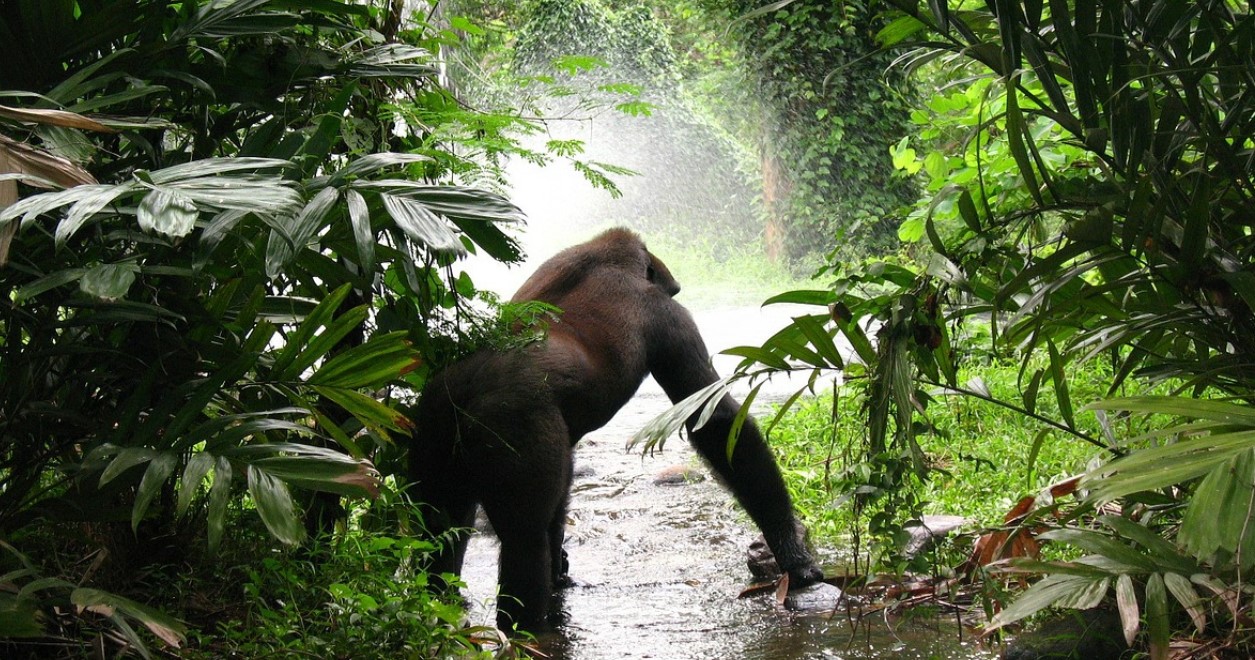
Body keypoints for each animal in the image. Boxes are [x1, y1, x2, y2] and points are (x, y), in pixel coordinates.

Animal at [409, 228, 823, 632]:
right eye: (672, 291)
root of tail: (465, 390)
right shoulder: (668, 316)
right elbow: (716, 421)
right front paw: (791, 551)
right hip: (510, 422)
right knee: (523, 540)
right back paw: (526, 630)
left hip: (430, 426)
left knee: (439, 528)